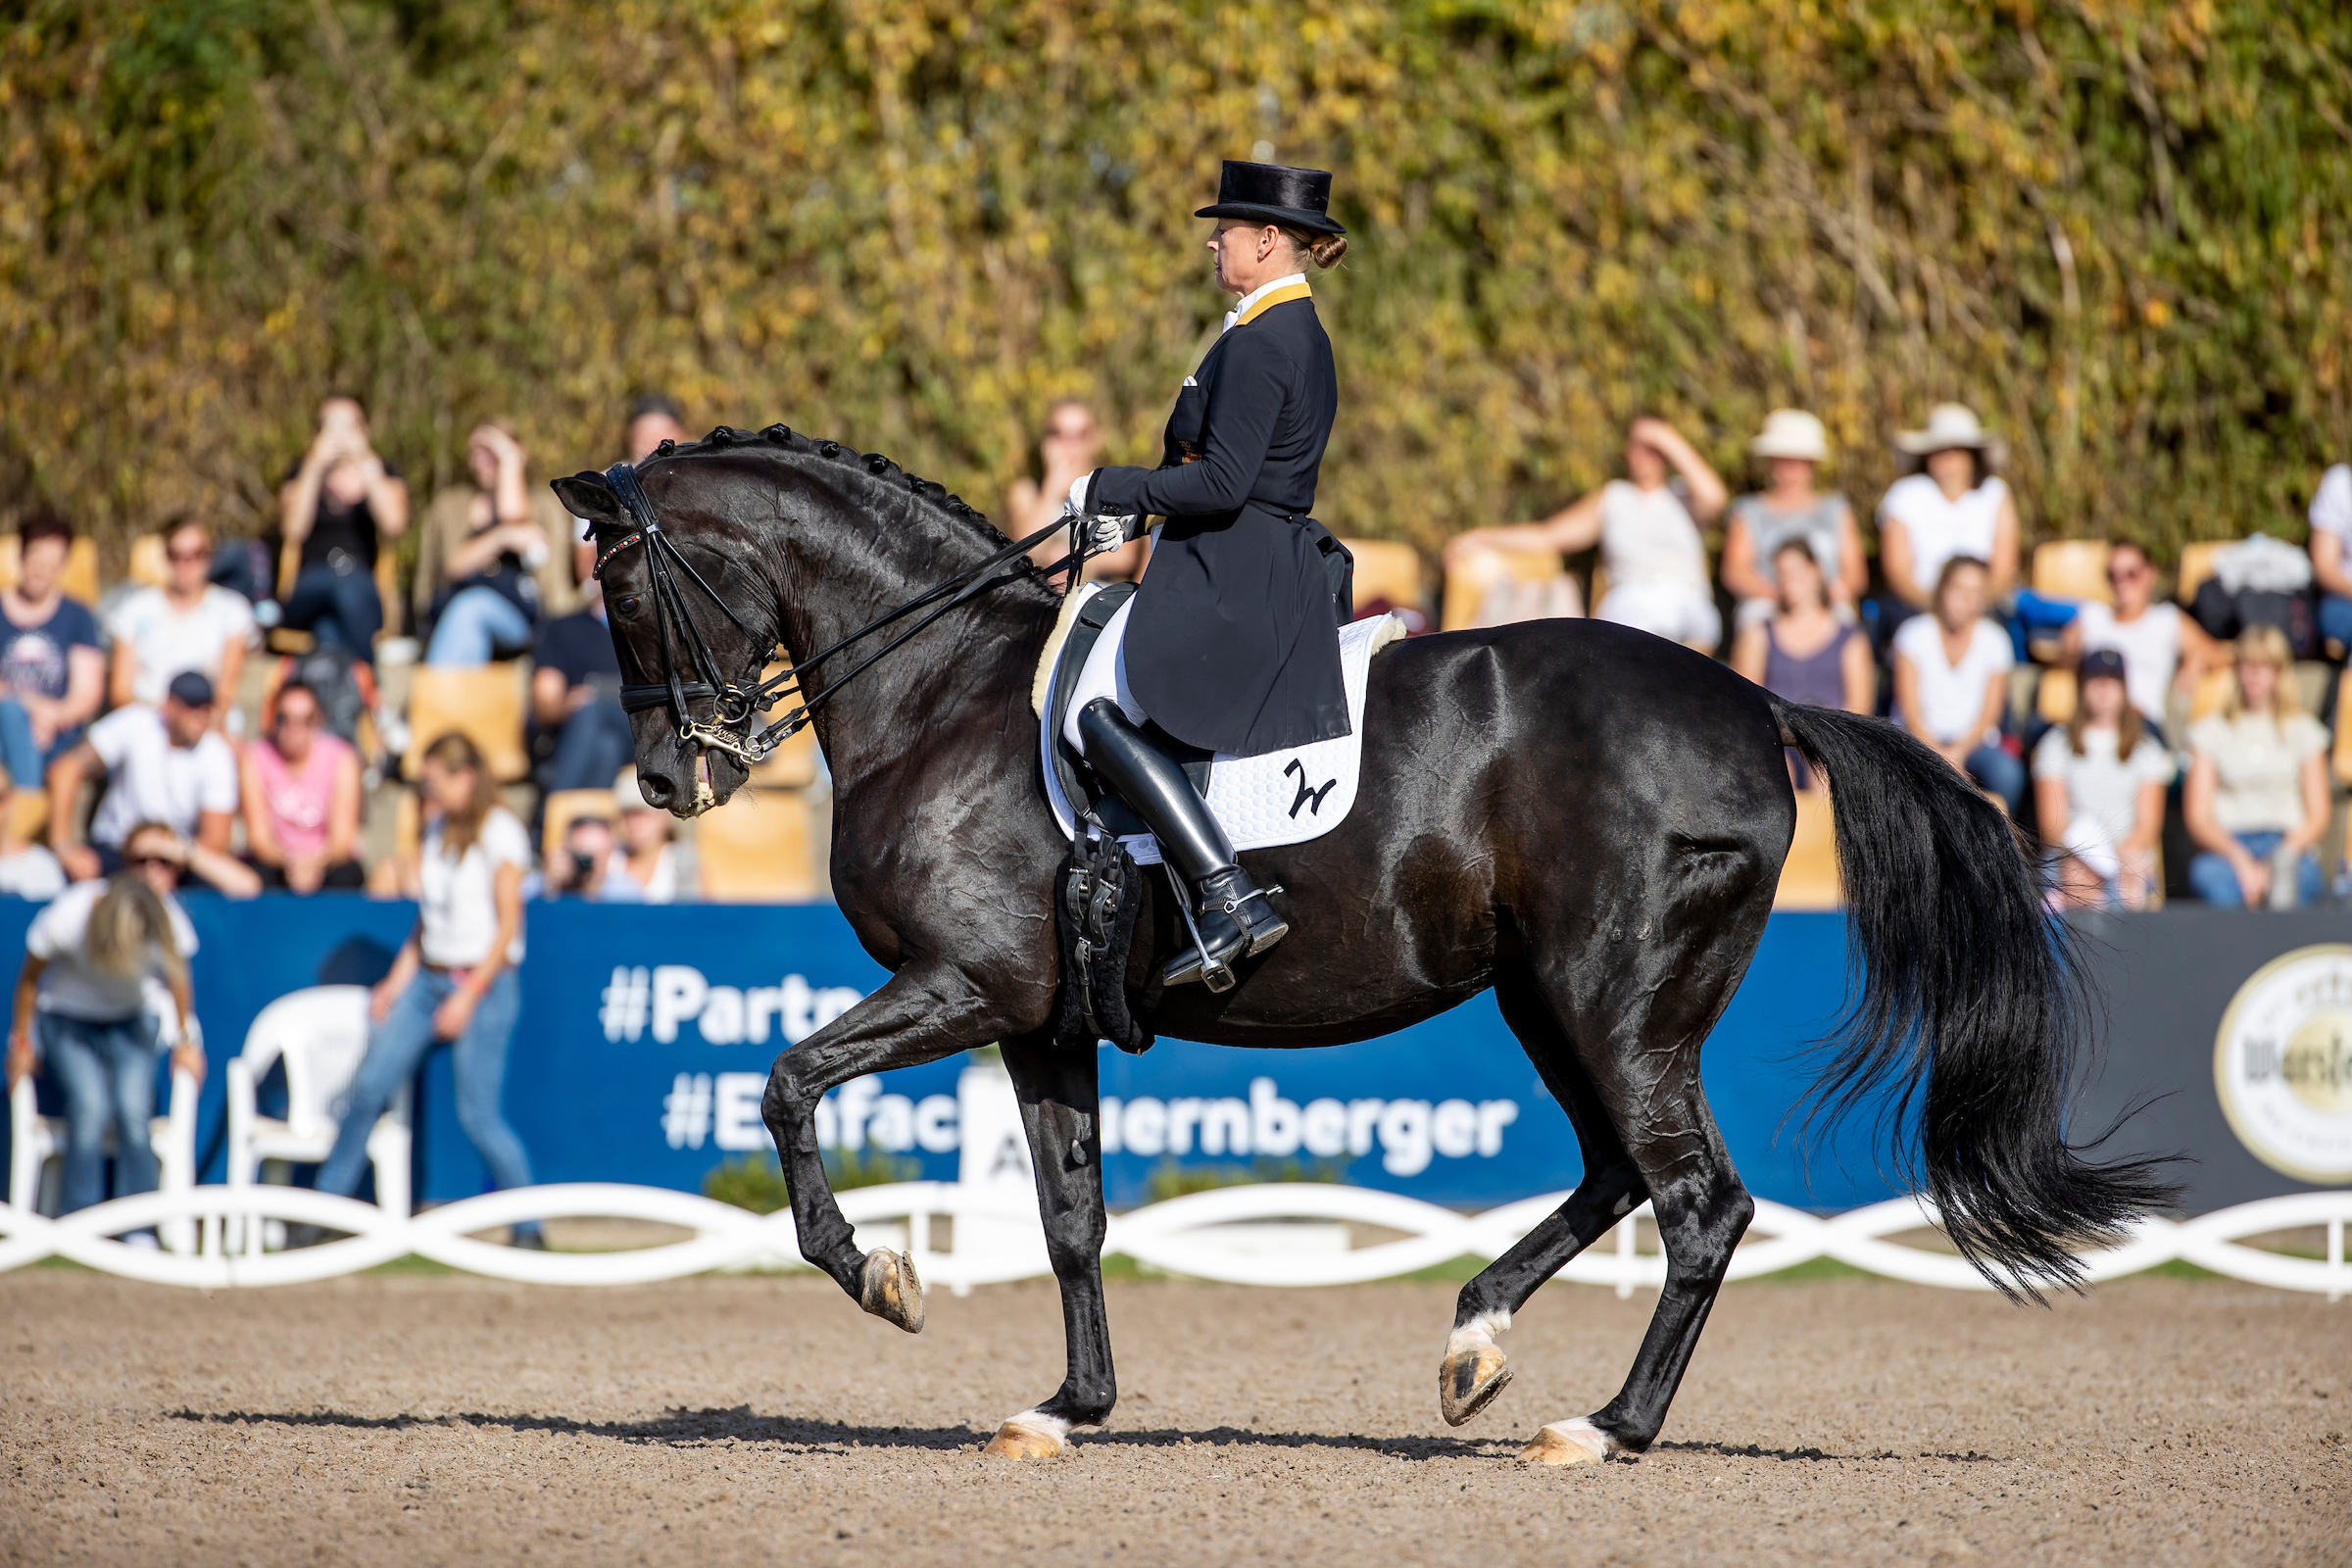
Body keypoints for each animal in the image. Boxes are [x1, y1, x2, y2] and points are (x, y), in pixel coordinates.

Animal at [555, 432, 2164, 1476]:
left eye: (622, 595)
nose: (666, 782)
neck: (945, 688)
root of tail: (1754, 702)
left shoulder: (968, 986)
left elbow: (785, 1083)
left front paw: (877, 1275)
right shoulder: (1041, 1020)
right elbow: (1071, 1217)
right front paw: (1067, 1408)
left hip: (1611, 999)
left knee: (1699, 1204)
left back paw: (1603, 1429)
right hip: (1552, 998)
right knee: (1619, 1174)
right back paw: (1474, 1344)